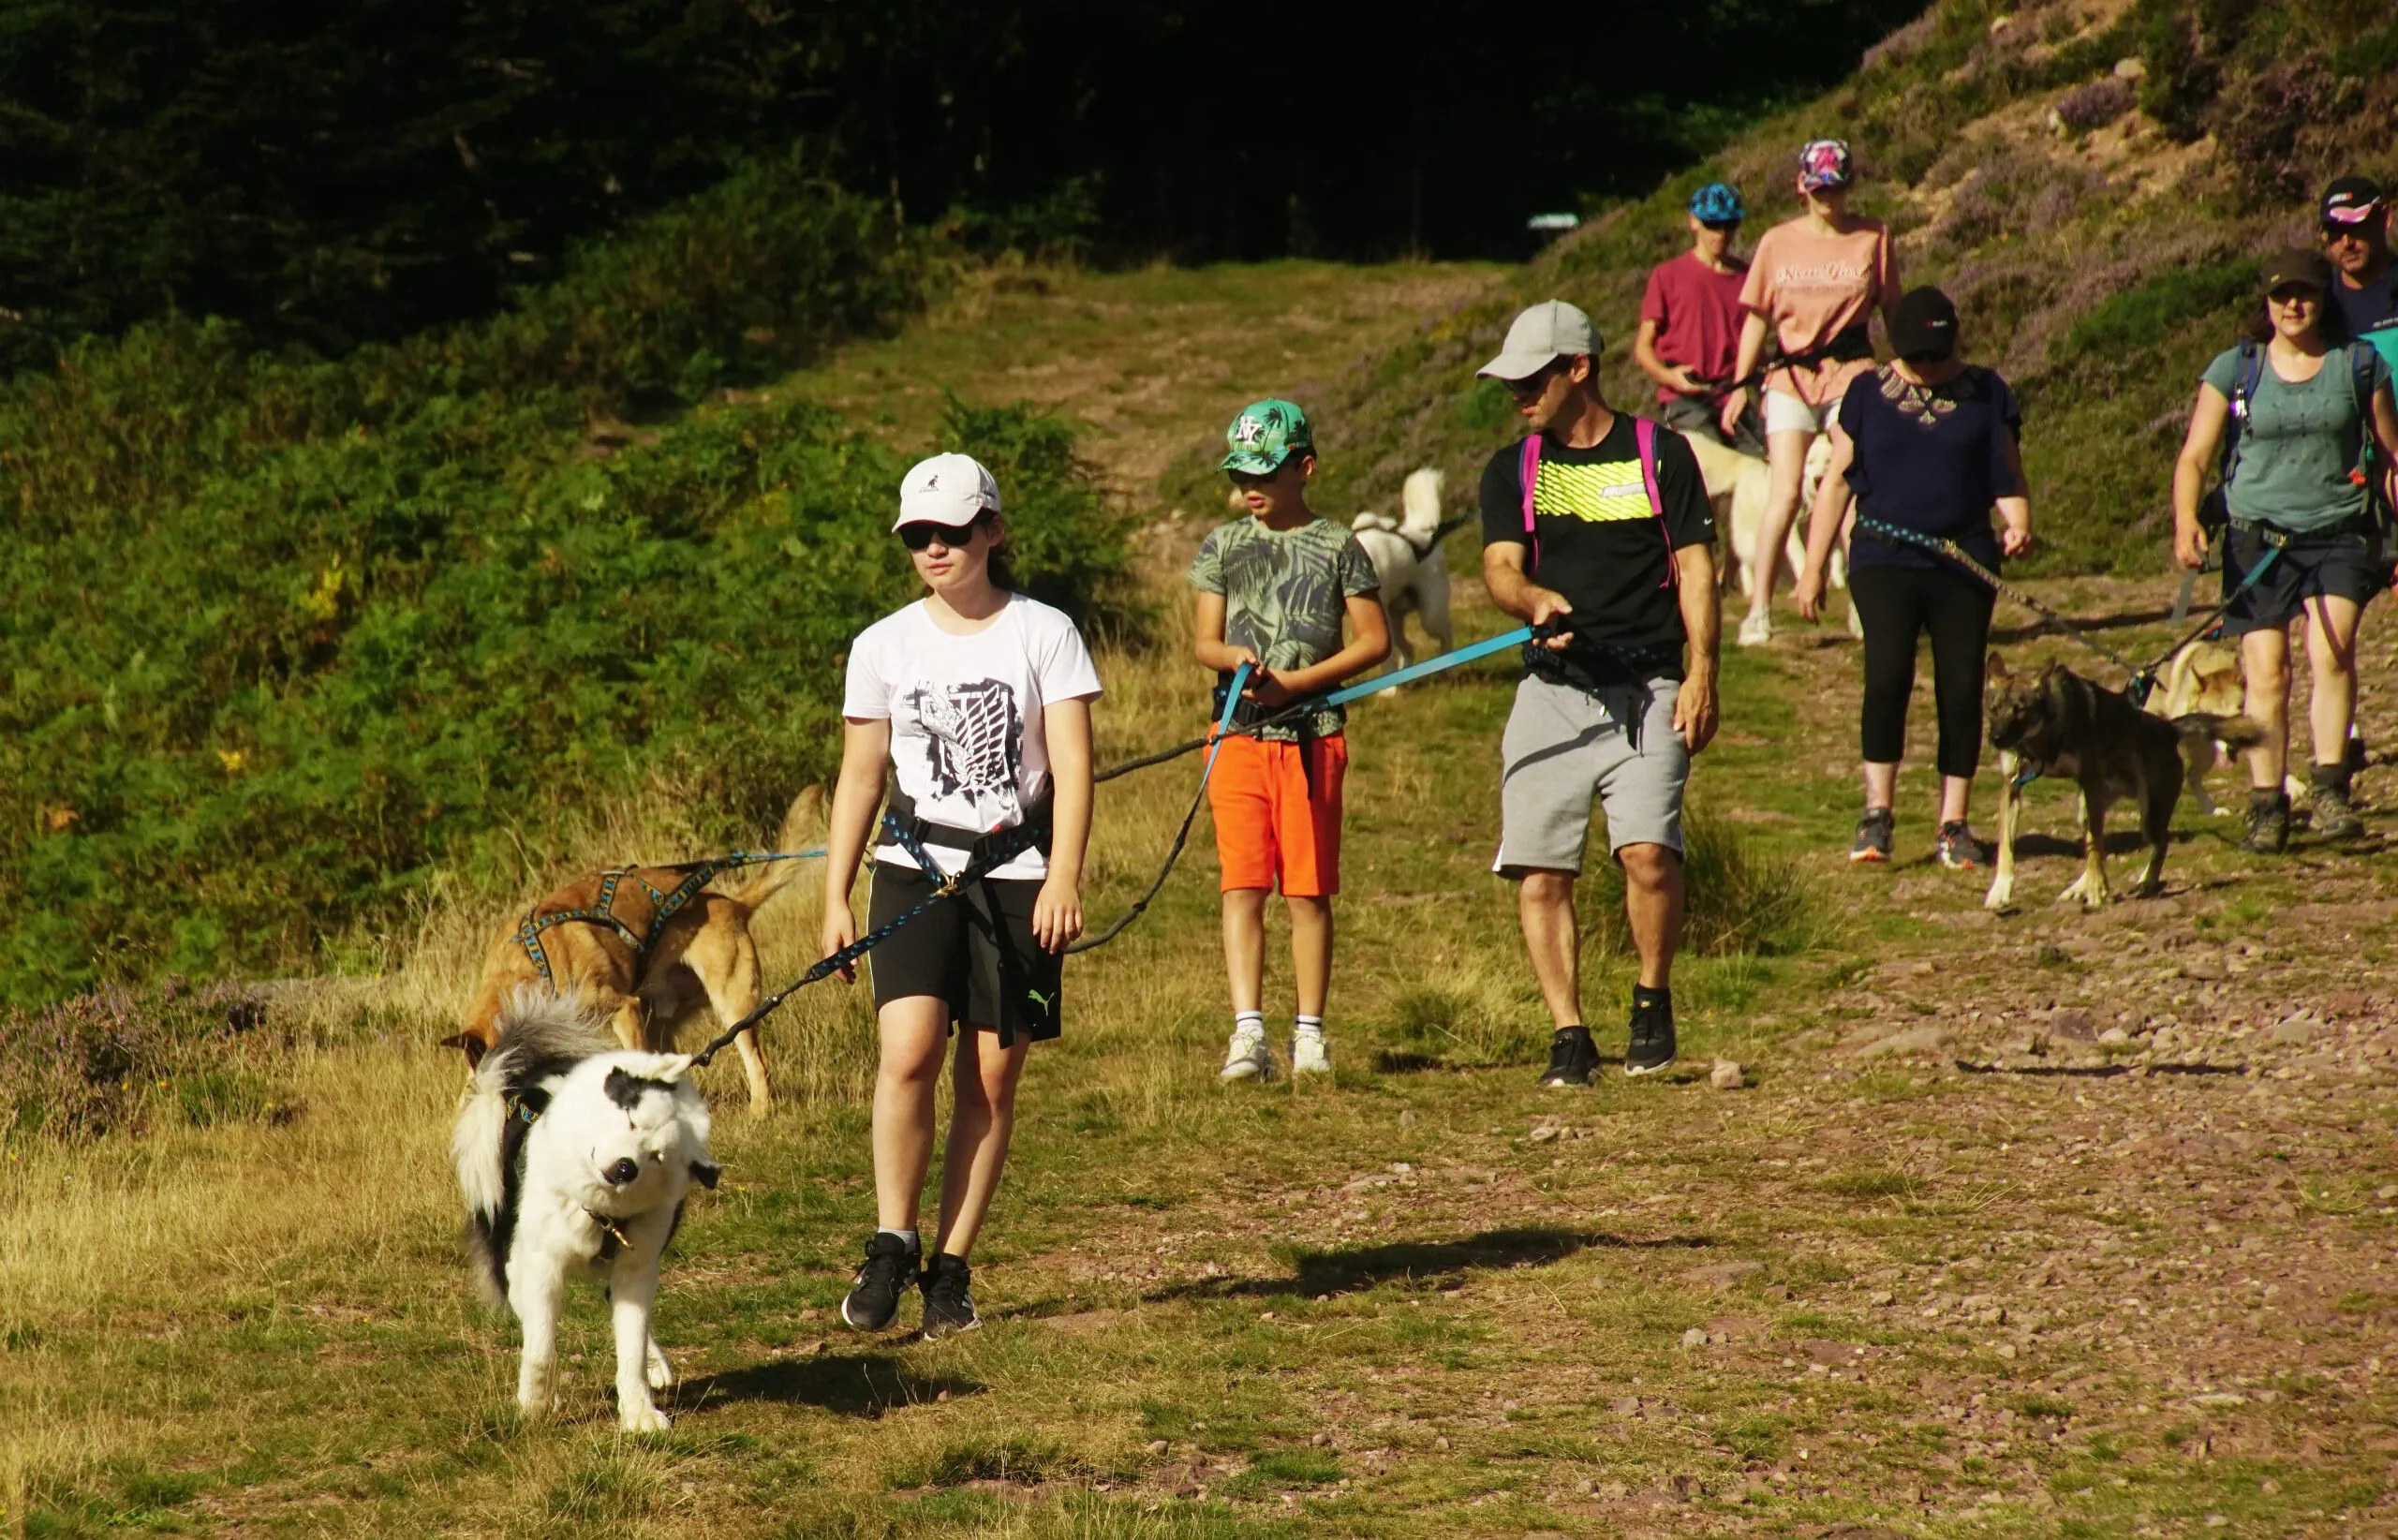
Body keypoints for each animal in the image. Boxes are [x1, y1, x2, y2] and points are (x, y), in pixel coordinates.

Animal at [443, 786, 824, 1108]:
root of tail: (734, 904)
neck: (533, 965)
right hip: (662, 1021)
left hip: (733, 1007)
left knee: (757, 1063)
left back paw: (759, 1112)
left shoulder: (623, 1009)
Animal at [451, 988, 709, 1429]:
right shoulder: (541, 1266)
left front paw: (639, 1413)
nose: (625, 1168)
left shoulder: (636, 1268)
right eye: (631, 1119)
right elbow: (540, 1348)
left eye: (658, 1156)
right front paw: (536, 1406)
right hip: (510, 1252)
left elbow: (632, 1348)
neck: (597, 1210)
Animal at [1352, 465, 1458, 676]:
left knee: (1446, 633)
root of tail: (1419, 533)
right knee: (1409, 648)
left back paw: (1447, 667)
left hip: (1430, 615)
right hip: (1396, 618)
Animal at [1976, 652, 2254, 906]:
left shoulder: (2089, 782)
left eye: (2020, 710)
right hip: (2088, 809)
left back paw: (2146, 882)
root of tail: (2168, 729)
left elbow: (2095, 847)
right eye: (1993, 709)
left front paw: (2098, 890)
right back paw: (2081, 887)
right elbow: (2006, 847)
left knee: (2159, 844)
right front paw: (1999, 892)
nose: (1996, 739)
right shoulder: (2012, 787)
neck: (2042, 738)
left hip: (2148, 814)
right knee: (2099, 843)